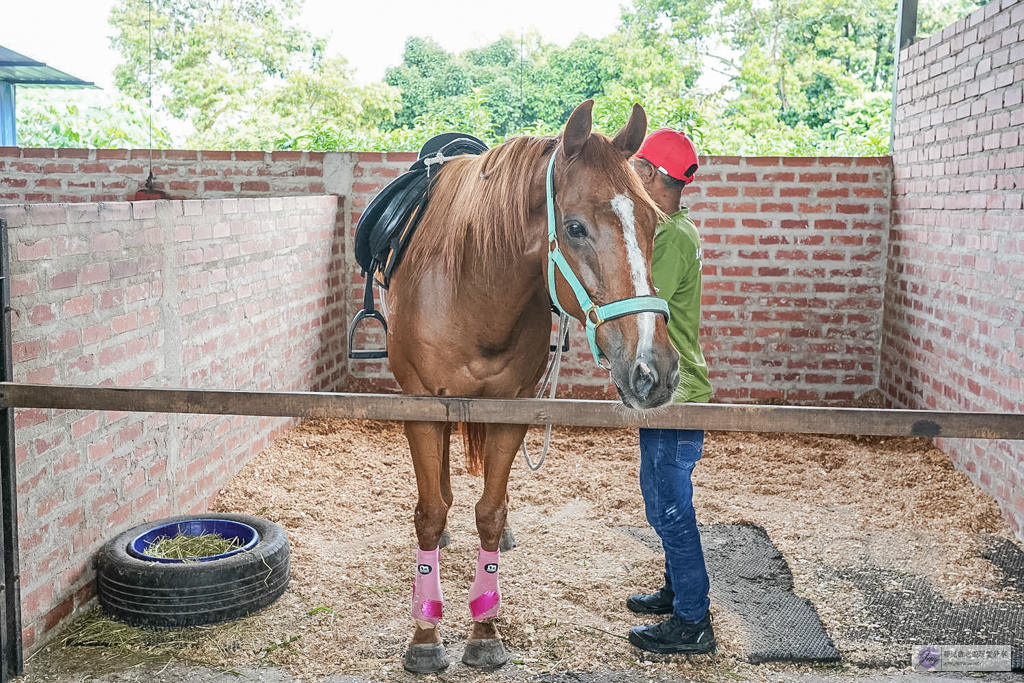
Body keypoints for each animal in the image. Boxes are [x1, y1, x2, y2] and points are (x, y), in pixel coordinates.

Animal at [384, 99, 681, 673]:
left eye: (653, 223)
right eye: (575, 227)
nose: (655, 370)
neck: (473, 289)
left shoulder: (511, 411)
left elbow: (490, 513)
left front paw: (484, 628)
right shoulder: (423, 407)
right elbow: (428, 515)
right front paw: (425, 635)